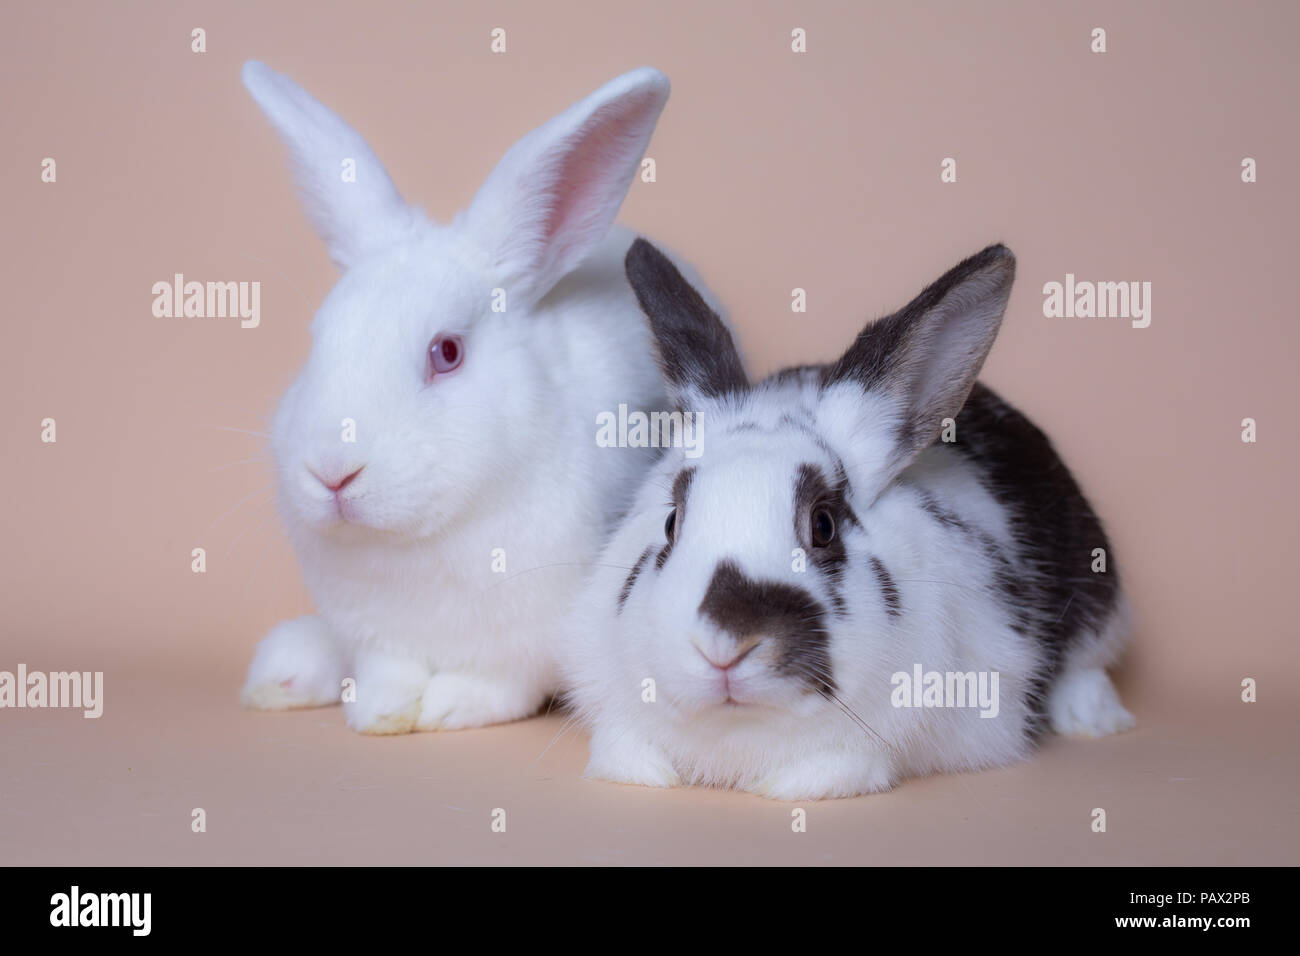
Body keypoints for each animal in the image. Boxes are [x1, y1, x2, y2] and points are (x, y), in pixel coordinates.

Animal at [238, 62, 700, 733]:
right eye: (317, 340)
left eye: (447, 352)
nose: (332, 474)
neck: (420, 539)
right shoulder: (377, 638)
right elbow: (387, 673)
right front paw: (380, 712)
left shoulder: (528, 639)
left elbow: (500, 685)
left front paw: (450, 706)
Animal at [561, 238, 1135, 800]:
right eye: (671, 524)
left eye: (823, 525)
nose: (724, 647)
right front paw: (641, 772)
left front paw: (797, 785)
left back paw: (1094, 721)